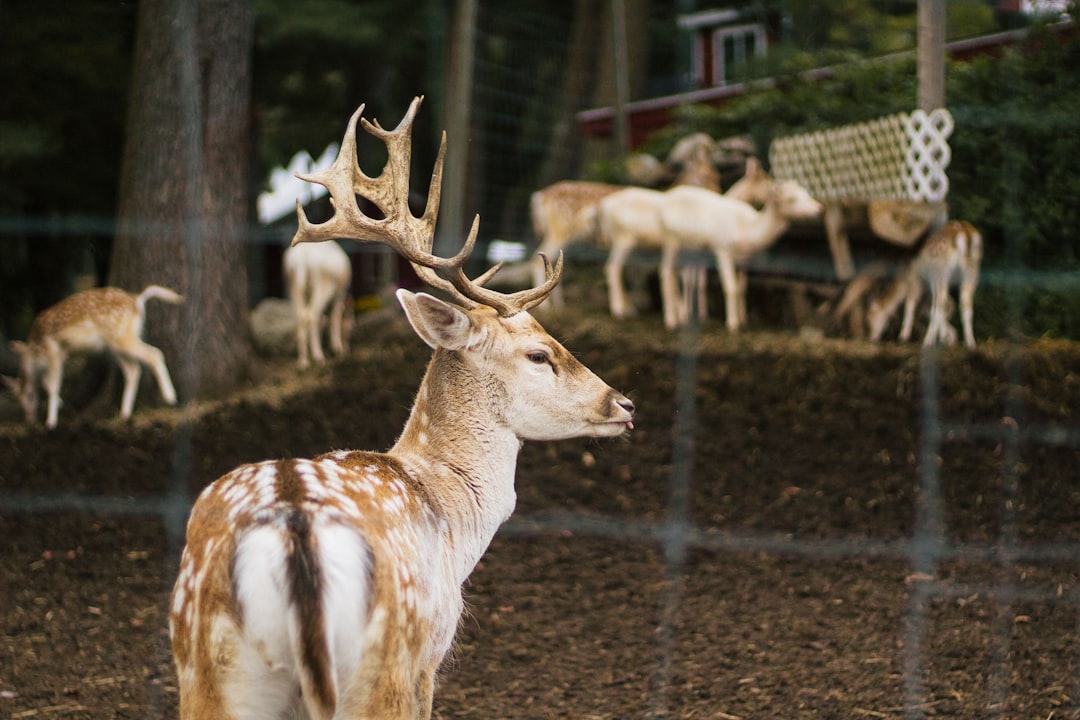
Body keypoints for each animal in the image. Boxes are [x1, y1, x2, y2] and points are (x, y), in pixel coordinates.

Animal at [3, 284, 183, 427]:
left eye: (25, 394)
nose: (29, 419)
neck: (35, 352)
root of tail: (137, 300)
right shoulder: (63, 354)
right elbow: (48, 382)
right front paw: (60, 406)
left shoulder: (54, 348)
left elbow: (53, 384)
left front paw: (51, 423)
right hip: (114, 346)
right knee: (133, 369)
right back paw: (124, 414)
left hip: (121, 336)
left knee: (154, 354)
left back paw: (170, 398)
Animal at [282, 240, 354, 369]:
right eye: (352, 317)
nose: (348, 347)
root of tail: (302, 259)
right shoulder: (340, 293)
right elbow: (335, 317)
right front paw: (337, 348)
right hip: (323, 286)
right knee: (312, 315)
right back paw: (318, 356)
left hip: (292, 286)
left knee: (300, 316)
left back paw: (303, 361)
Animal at [864, 220, 984, 349]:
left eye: (869, 318)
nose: (871, 337)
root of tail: (966, 234)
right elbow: (943, 304)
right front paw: (946, 336)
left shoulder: (914, 277)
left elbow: (911, 303)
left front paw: (903, 336)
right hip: (972, 270)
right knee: (965, 303)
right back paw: (970, 343)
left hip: (941, 269)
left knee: (941, 302)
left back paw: (927, 340)